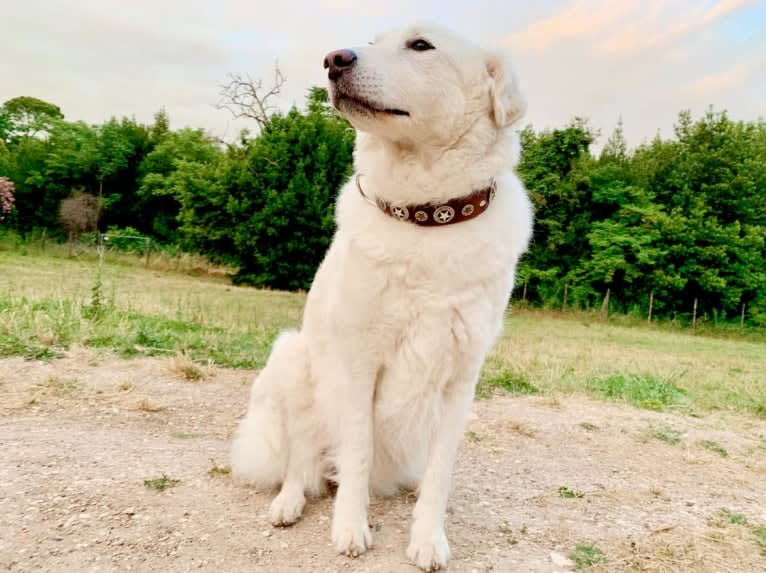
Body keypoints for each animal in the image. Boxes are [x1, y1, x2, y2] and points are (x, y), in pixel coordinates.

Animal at [231, 21, 536, 568]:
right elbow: (356, 453)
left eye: (421, 45)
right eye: (372, 42)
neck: (427, 215)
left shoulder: (461, 381)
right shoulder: (358, 365)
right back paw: (288, 501)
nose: (333, 59)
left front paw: (428, 538)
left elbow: (439, 474)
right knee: (302, 458)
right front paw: (351, 528)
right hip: (294, 357)